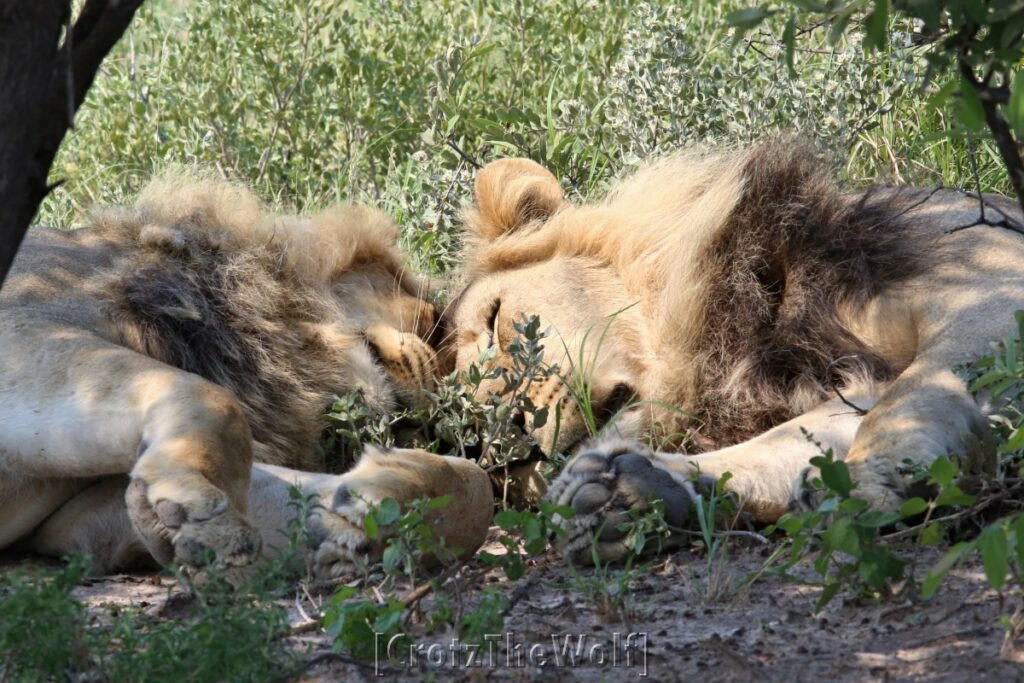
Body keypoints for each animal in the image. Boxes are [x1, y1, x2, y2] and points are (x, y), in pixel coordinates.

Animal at [0, 174, 491, 581]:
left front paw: (365, 513)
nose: (443, 406)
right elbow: (214, 400)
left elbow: (478, 490)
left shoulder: (76, 520)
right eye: (431, 323)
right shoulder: (21, 323)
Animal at [448, 139, 1024, 561]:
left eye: (496, 318)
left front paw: (874, 475)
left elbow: (916, 395)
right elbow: (791, 442)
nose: (507, 445)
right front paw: (630, 492)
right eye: (475, 449)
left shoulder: (986, 287)